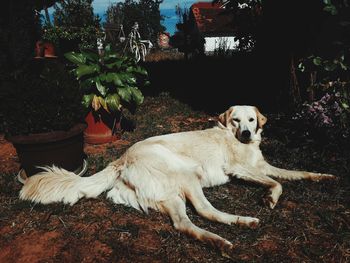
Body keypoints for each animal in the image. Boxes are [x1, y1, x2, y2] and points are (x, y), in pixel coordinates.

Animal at [18, 105, 334, 254]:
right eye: (236, 120)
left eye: (252, 120)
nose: (246, 133)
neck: (238, 140)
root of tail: (122, 158)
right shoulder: (240, 169)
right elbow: (278, 183)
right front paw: (269, 197)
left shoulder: (263, 165)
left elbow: (293, 173)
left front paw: (323, 176)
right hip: (186, 174)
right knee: (205, 211)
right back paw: (238, 227)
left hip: (169, 195)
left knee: (184, 224)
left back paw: (219, 240)